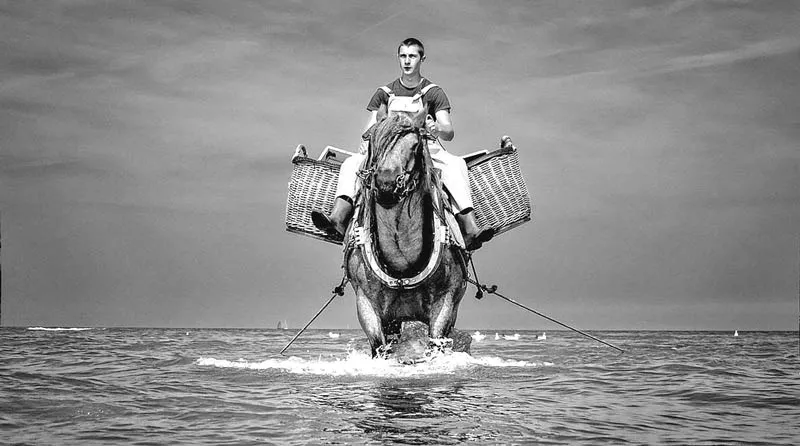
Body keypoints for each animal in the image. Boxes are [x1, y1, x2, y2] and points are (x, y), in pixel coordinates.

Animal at [342, 111, 468, 358]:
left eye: (415, 145)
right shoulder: (366, 303)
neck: (402, 263)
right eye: (373, 142)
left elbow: (436, 343)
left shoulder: (446, 302)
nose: (386, 184)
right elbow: (380, 347)